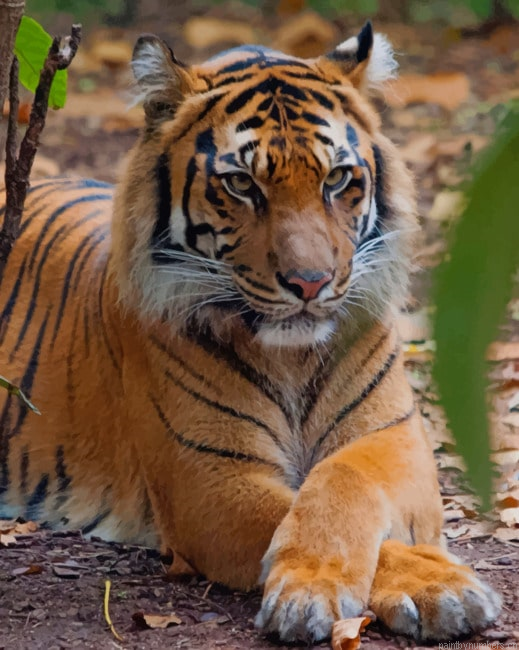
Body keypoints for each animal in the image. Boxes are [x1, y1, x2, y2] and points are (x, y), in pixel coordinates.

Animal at [0, 22, 501, 643]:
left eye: (337, 178)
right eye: (240, 185)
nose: (310, 283)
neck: (293, 358)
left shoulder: (396, 439)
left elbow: (343, 480)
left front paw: (435, 585)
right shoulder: (208, 476)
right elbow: (295, 512)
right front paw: (333, 588)